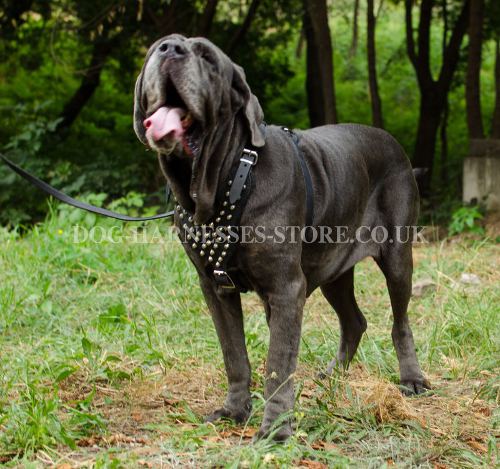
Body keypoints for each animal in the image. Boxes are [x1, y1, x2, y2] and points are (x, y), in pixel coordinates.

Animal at [134, 35, 430, 438]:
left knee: (400, 322)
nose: (169, 50)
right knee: (354, 321)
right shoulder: (215, 288)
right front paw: (234, 410)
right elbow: (235, 355)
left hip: (397, 257)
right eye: (155, 49)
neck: (229, 180)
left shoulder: (285, 288)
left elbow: (277, 362)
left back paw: (412, 379)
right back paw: (333, 376)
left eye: (207, 58)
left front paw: (275, 429)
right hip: (333, 269)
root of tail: (396, 147)